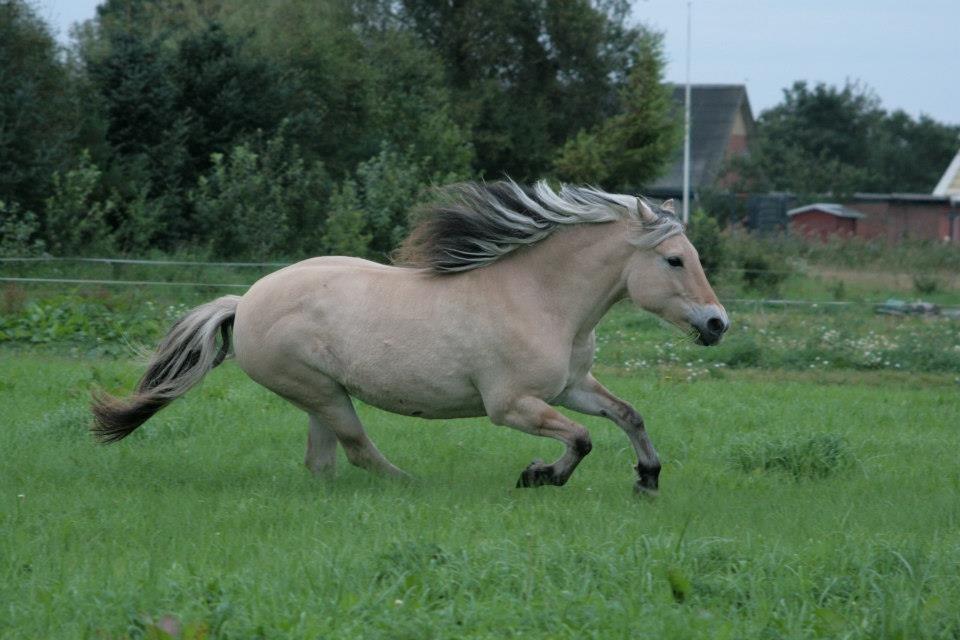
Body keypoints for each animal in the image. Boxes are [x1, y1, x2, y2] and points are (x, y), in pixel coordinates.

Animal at [92, 182, 728, 492]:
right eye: (674, 259)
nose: (717, 324)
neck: (542, 299)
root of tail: (243, 302)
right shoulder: (511, 405)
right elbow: (581, 439)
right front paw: (538, 476)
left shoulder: (571, 386)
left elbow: (628, 415)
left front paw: (648, 478)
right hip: (319, 391)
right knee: (357, 450)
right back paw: (414, 487)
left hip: (320, 396)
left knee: (324, 462)